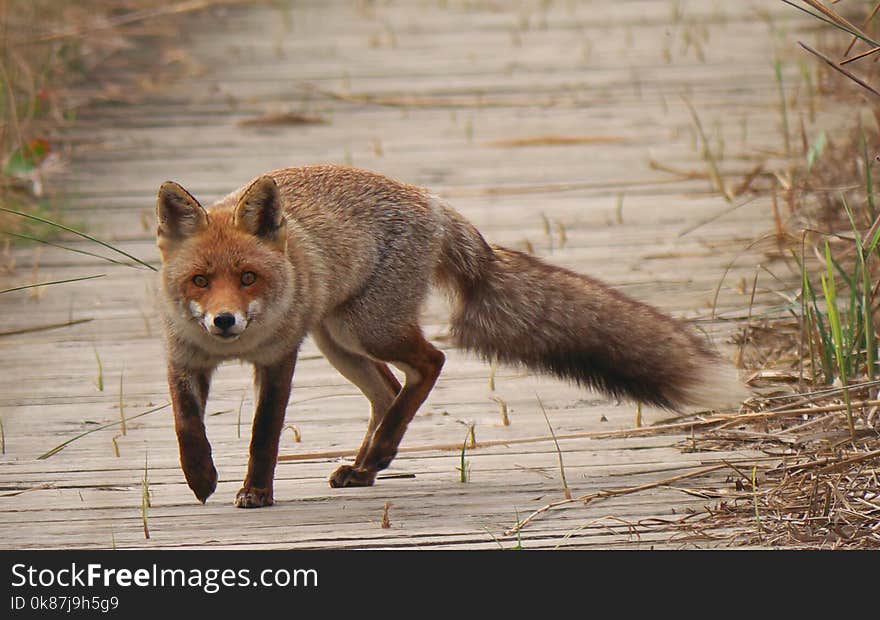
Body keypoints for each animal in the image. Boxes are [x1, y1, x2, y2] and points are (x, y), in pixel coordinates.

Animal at [156, 166, 744, 508]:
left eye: (248, 278)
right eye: (200, 281)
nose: (225, 321)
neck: (235, 350)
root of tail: (434, 202)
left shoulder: (279, 359)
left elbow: (263, 434)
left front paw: (256, 490)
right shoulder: (183, 356)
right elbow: (185, 425)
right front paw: (200, 477)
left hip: (363, 328)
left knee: (430, 363)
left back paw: (378, 455)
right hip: (338, 339)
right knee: (390, 392)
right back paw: (367, 466)